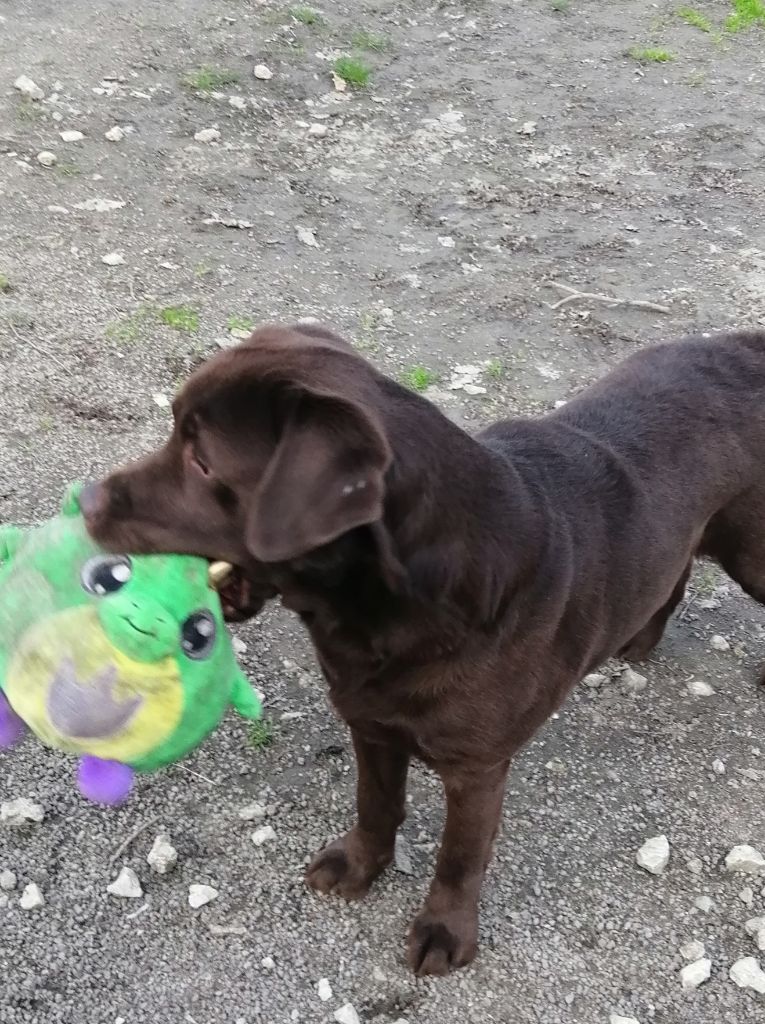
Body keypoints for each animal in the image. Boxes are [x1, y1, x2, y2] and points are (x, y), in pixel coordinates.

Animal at [85, 321, 765, 974]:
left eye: (202, 462)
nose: (86, 500)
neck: (393, 608)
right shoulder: (371, 722)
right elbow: (375, 803)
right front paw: (360, 864)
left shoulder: (476, 767)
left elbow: (459, 857)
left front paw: (446, 930)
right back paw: (639, 640)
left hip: (750, 553)